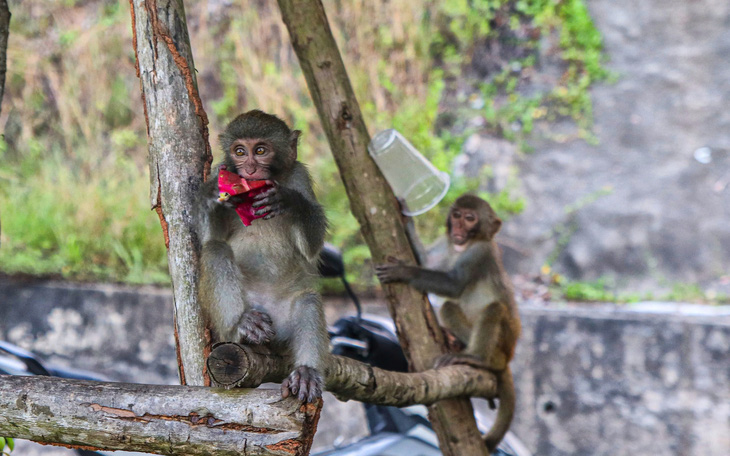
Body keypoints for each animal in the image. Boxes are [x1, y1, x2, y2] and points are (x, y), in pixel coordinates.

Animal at [196, 110, 328, 402]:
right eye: (240, 152)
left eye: (260, 150)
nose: (250, 170)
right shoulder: (218, 172)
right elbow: (210, 238)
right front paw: (212, 195)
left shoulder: (299, 175)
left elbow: (312, 246)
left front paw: (289, 201)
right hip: (236, 317)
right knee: (216, 250)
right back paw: (242, 324)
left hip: (284, 325)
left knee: (308, 300)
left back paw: (305, 372)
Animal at [376, 193, 516, 452]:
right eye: (457, 215)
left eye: (470, 218)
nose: (458, 229)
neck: (463, 247)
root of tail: (506, 358)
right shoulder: (446, 243)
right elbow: (428, 262)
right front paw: (407, 219)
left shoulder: (479, 252)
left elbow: (454, 285)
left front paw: (404, 271)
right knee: (449, 307)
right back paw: (456, 342)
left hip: (501, 346)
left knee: (493, 308)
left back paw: (476, 358)